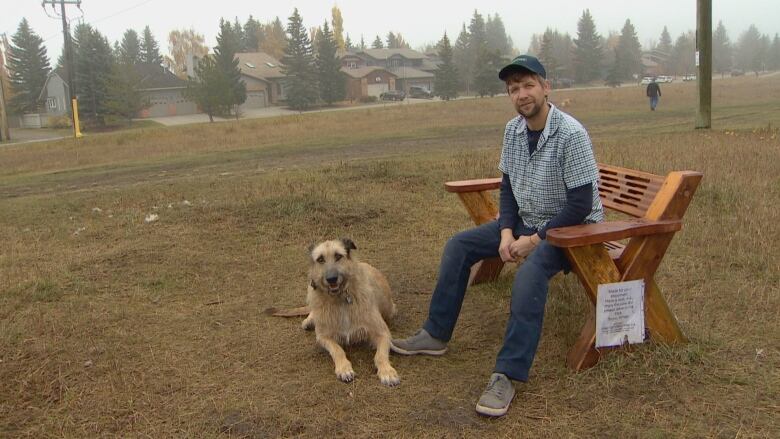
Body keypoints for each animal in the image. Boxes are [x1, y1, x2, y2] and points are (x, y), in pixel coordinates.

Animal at [302, 239, 400, 386]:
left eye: (338, 256)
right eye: (320, 259)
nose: (331, 279)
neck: (340, 299)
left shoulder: (383, 333)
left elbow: (380, 355)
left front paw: (387, 371)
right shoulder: (323, 337)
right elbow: (338, 350)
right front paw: (344, 369)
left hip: (389, 308)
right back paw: (309, 320)